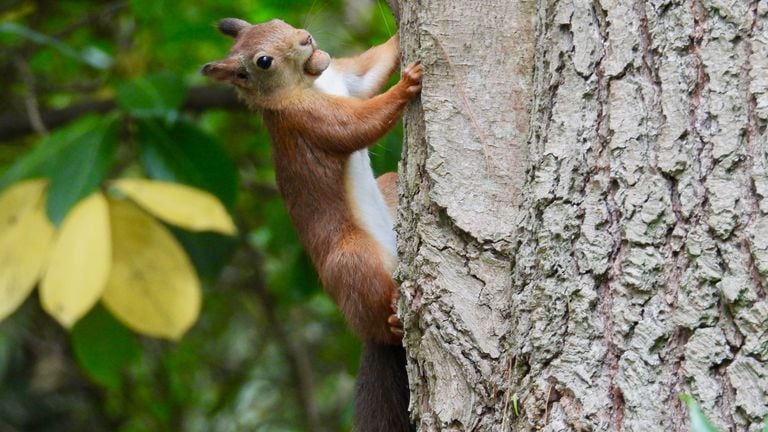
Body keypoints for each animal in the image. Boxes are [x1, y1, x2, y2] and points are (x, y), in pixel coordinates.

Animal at [202, 18, 421, 432]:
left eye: (278, 23)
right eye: (264, 61)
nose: (306, 38)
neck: (312, 82)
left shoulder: (346, 78)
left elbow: (369, 70)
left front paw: (401, 33)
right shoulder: (308, 122)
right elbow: (359, 124)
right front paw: (407, 84)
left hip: (388, 189)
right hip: (350, 258)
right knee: (374, 311)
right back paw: (392, 321)